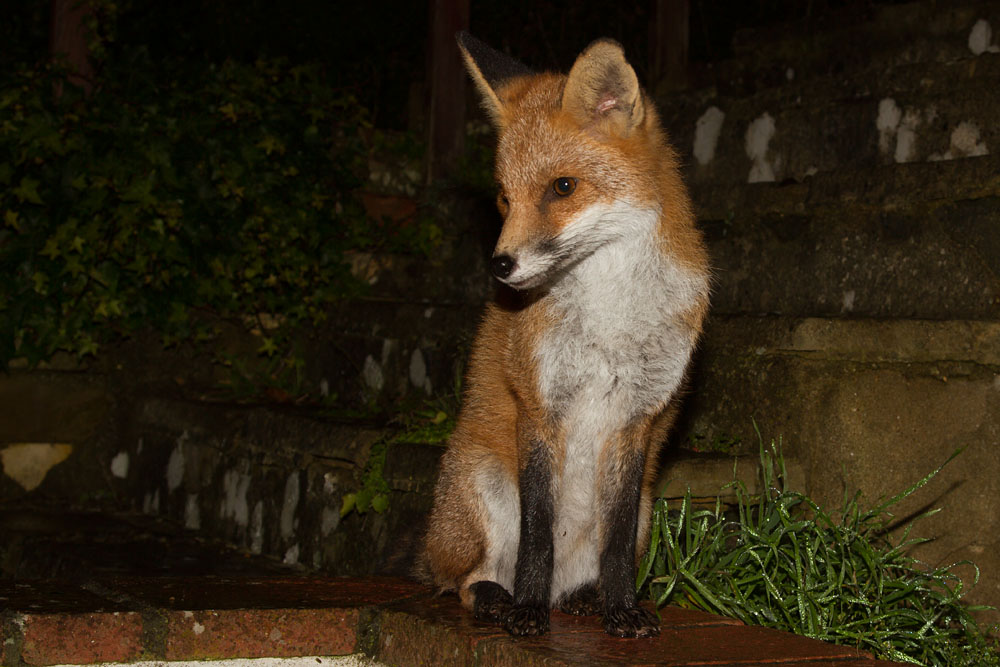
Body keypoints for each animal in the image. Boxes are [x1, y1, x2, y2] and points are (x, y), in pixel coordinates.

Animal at [418, 33, 710, 638]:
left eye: (563, 187)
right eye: (503, 197)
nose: (500, 265)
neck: (611, 314)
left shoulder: (635, 418)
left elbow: (615, 546)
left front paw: (621, 610)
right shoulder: (539, 403)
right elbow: (538, 534)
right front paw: (526, 613)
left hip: (649, 508)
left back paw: (582, 599)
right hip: (482, 485)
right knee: (462, 581)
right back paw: (502, 599)